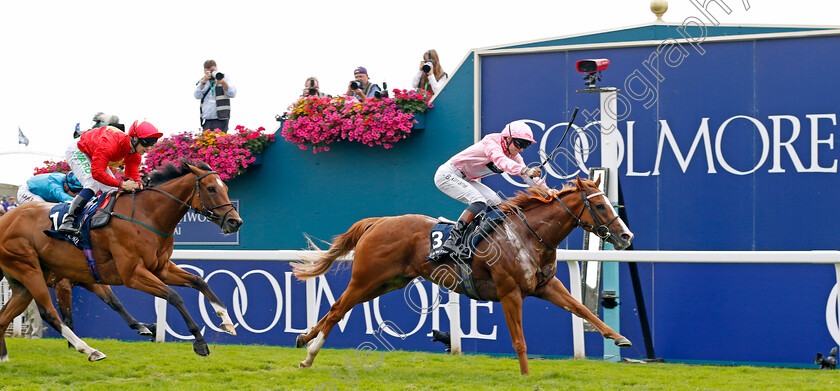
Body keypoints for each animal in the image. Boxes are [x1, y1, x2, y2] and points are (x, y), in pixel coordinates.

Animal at [0, 161, 243, 362]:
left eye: (225, 188)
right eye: (211, 189)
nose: (235, 222)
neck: (147, 216)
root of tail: (6, 218)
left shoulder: (161, 268)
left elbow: (199, 281)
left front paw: (226, 321)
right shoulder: (132, 274)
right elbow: (174, 296)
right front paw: (200, 342)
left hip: (23, 282)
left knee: (4, 318)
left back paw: (5, 358)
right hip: (28, 269)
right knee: (48, 313)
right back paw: (89, 350)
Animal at [292, 178, 632, 376]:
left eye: (612, 203)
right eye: (599, 205)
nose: (626, 236)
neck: (528, 235)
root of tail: (378, 222)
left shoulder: (546, 286)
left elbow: (582, 309)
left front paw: (619, 337)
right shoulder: (509, 291)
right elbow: (519, 340)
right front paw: (525, 376)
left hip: (386, 283)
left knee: (338, 309)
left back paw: (304, 339)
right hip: (367, 278)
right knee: (337, 309)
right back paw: (309, 355)